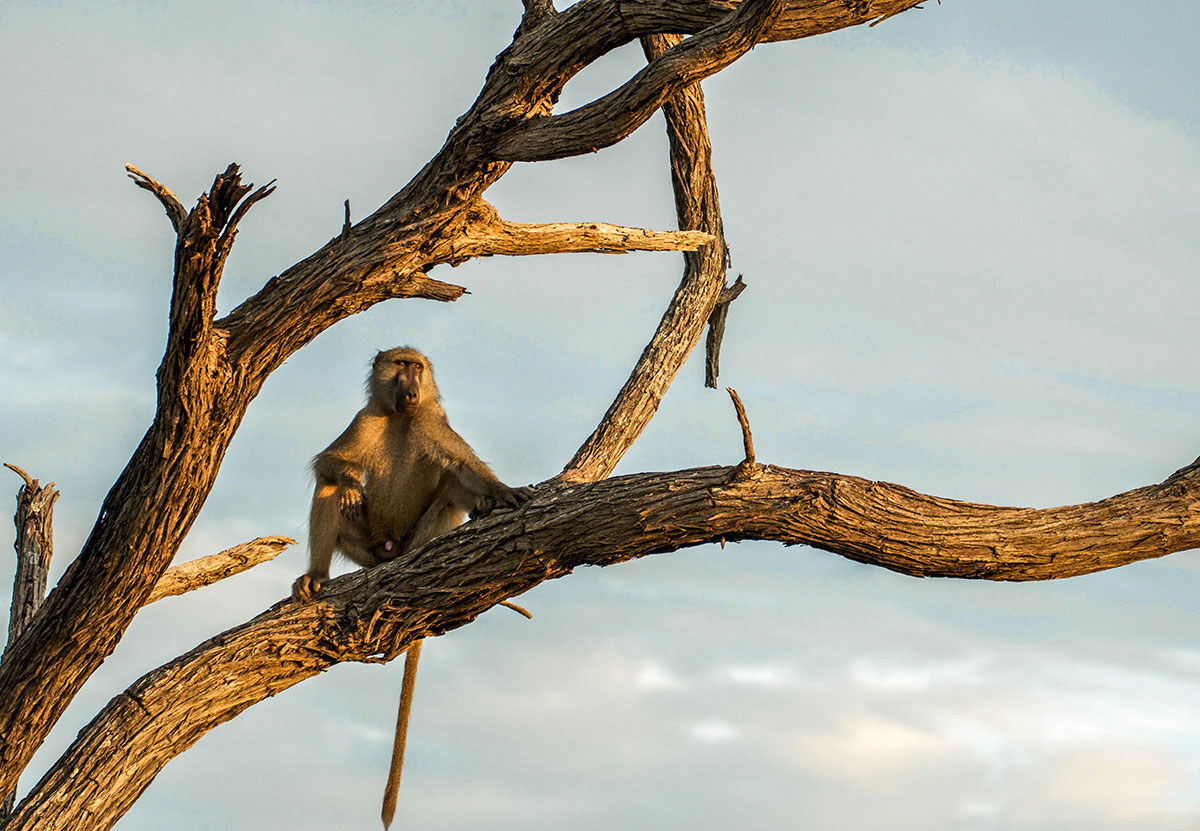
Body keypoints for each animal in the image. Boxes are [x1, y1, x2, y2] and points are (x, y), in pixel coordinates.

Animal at [291, 346, 531, 829]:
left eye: (417, 367)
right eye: (399, 365)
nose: (411, 386)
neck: (402, 419)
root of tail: (393, 552)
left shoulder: (432, 421)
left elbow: (463, 466)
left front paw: (501, 492)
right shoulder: (365, 417)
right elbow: (331, 463)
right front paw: (351, 480)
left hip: (420, 535)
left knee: (454, 486)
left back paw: (478, 511)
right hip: (367, 550)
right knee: (329, 487)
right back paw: (317, 575)